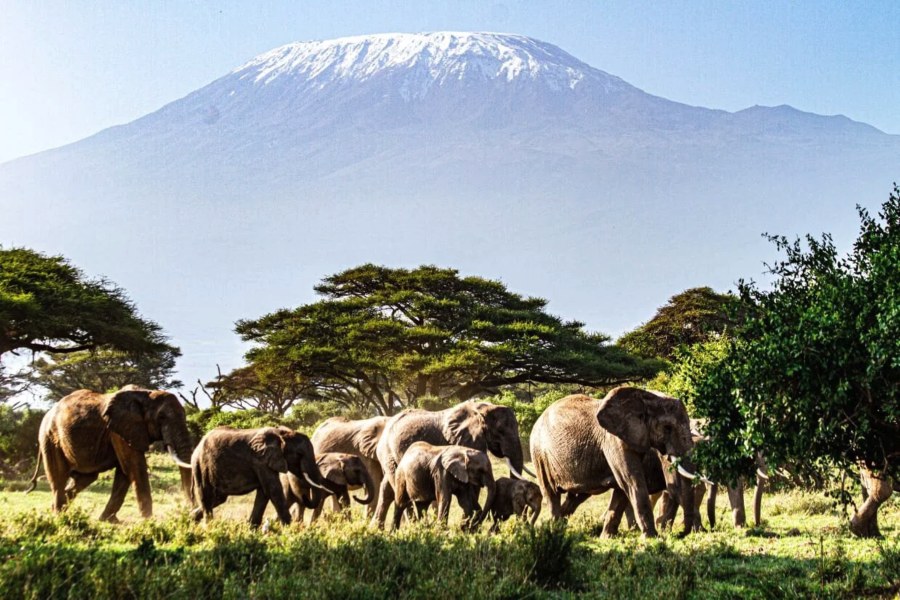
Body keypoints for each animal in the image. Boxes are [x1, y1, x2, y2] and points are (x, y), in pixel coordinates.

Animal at [25, 385, 193, 522]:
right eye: (161, 418)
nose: (188, 513)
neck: (147, 394)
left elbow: (124, 472)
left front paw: (108, 520)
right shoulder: (119, 431)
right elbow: (134, 467)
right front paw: (149, 522)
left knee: (84, 479)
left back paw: (57, 510)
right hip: (50, 439)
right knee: (59, 478)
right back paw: (58, 515)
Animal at [189, 426, 328, 527]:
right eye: (299, 454)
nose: (304, 496)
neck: (281, 434)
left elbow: (264, 493)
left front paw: (252, 529)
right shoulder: (260, 461)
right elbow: (273, 491)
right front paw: (290, 530)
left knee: (219, 498)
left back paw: (191, 519)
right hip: (200, 466)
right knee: (206, 495)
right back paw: (208, 526)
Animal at [372, 400, 530, 529]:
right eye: (500, 431)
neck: (482, 408)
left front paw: (468, 526)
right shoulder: (467, 440)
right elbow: (472, 486)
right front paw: (468, 526)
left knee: (387, 489)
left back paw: (377, 529)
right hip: (388, 452)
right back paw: (413, 525)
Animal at [529, 387, 693, 537]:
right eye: (668, 428)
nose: (681, 534)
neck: (648, 397)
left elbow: (622, 488)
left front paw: (607, 538)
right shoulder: (613, 440)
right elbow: (632, 481)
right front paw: (652, 537)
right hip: (540, 454)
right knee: (551, 493)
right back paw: (556, 532)